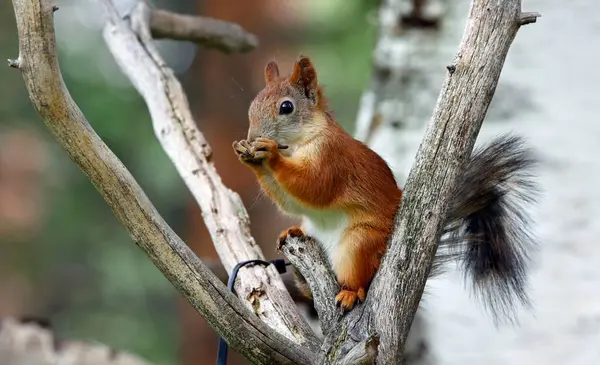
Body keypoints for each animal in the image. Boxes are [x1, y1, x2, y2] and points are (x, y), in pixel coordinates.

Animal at [232, 55, 536, 318]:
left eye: (286, 107)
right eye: (252, 106)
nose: (253, 135)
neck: (297, 145)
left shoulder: (332, 159)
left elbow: (315, 187)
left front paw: (269, 154)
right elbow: (292, 202)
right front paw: (249, 157)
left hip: (360, 244)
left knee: (361, 281)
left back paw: (351, 293)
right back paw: (294, 237)